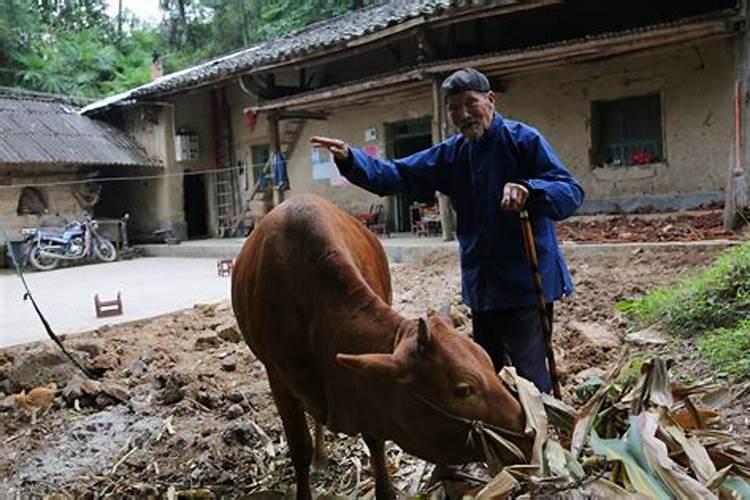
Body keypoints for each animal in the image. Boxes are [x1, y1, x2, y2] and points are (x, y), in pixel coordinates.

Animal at [232, 194, 532, 500]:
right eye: (463, 389)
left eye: (488, 363)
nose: (529, 434)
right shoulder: (278, 380)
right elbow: (299, 449)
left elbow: (374, 439)